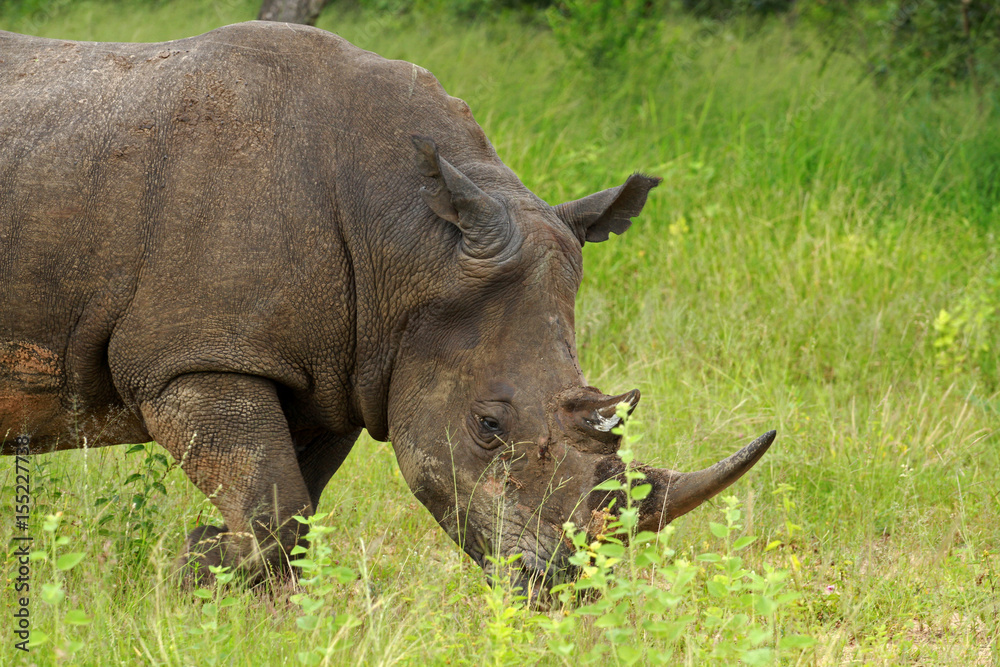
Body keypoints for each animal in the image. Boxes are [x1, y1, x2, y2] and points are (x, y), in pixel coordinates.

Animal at [0, 21, 774, 600]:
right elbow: (276, 507)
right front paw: (197, 572)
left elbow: (293, 508)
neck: (411, 246)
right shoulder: (193, 360)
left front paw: (217, 576)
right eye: (488, 426)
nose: (566, 589)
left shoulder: (331, 373)